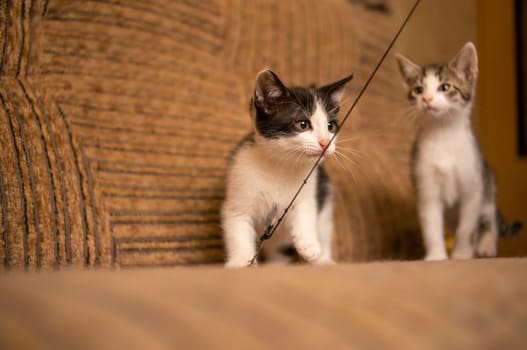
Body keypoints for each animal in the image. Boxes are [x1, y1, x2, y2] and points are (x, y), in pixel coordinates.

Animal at [221, 69, 352, 268]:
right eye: (303, 124)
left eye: (330, 126)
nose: (325, 142)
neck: (281, 165)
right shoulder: (239, 187)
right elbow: (238, 226)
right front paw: (241, 261)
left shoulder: (310, 185)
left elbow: (306, 210)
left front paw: (309, 244)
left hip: (326, 199)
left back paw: (321, 260)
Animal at [396, 42, 520, 260]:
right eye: (418, 90)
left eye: (445, 87)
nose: (427, 98)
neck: (443, 135)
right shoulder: (426, 186)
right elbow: (431, 225)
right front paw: (436, 255)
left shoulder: (472, 187)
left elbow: (466, 228)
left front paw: (462, 254)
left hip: (487, 181)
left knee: (489, 218)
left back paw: (486, 245)